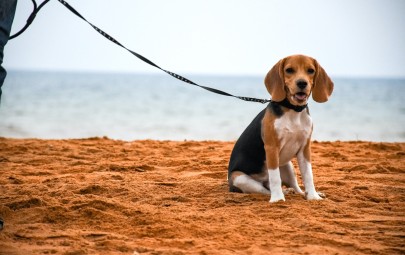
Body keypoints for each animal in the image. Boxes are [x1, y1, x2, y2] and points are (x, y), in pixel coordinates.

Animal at [226, 54, 332, 202]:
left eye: (310, 70)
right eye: (289, 70)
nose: (302, 83)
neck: (293, 110)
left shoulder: (305, 148)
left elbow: (308, 175)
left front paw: (313, 196)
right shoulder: (272, 148)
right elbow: (275, 177)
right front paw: (277, 199)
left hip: (287, 165)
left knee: (295, 187)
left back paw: (299, 192)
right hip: (239, 178)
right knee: (265, 189)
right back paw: (280, 193)